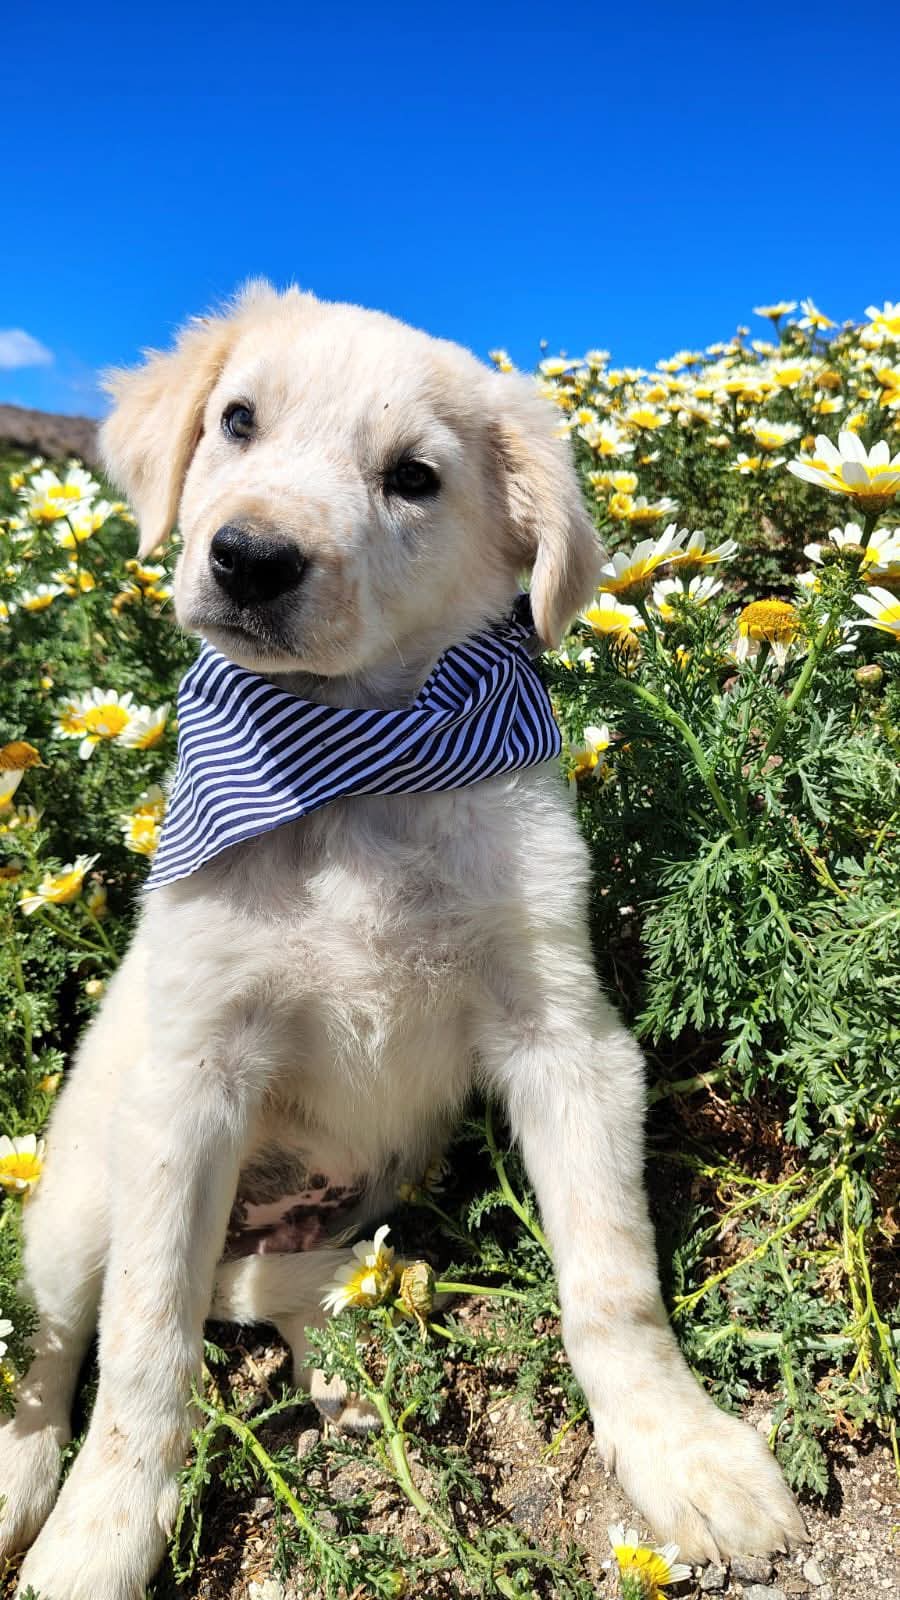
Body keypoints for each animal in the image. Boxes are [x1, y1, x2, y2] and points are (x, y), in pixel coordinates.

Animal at [1, 284, 804, 1599]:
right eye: (236, 419)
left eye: (413, 478)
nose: (249, 557)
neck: (351, 768)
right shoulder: (189, 1085)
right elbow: (145, 1342)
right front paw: (100, 1534)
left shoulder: (565, 1037)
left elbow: (613, 1280)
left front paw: (681, 1451)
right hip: (76, 1190)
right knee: (67, 1331)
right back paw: (26, 1473)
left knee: (250, 1285)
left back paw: (340, 1351)